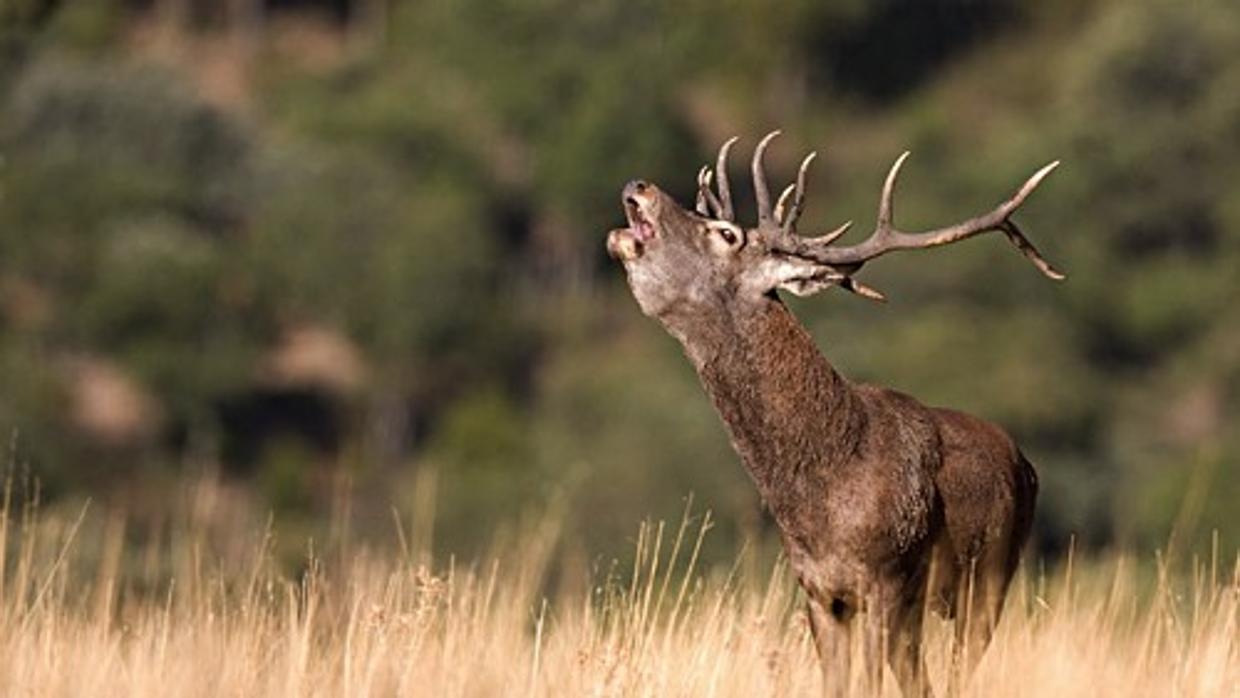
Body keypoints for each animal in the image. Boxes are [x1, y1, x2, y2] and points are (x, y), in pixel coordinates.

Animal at [605, 132, 1061, 698]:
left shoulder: (885, 579)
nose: (638, 183)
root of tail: (1027, 463)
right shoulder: (821, 593)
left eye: (725, 233)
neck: (822, 494)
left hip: (991, 578)